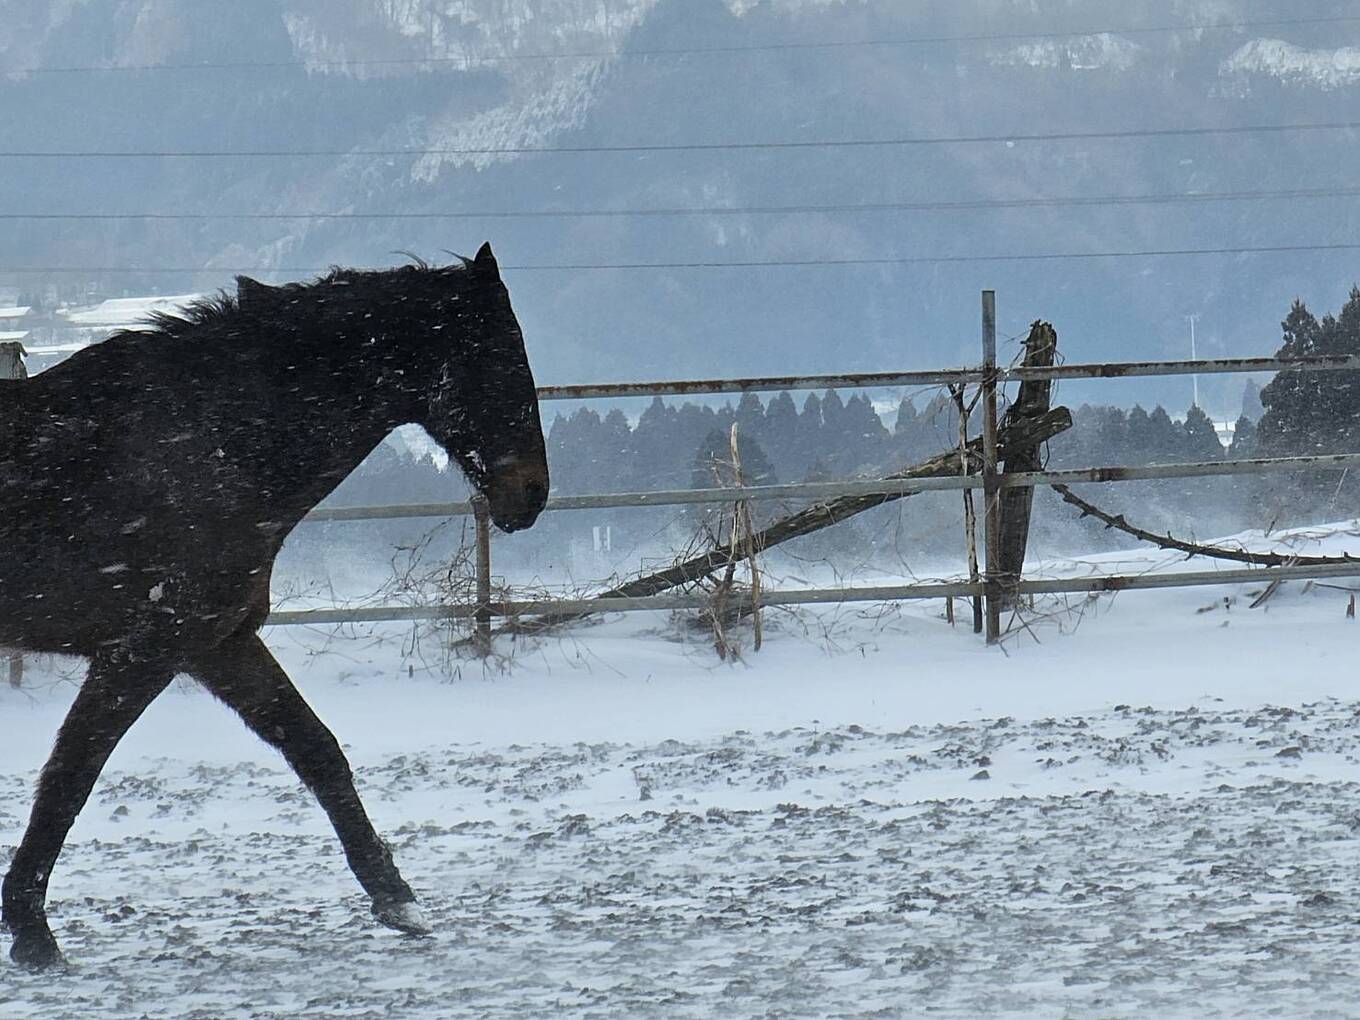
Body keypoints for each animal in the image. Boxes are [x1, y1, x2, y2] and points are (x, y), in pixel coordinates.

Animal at [0, 243, 548, 970]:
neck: (211, 442)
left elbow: (316, 749)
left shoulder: (220, 643)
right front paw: (33, 933)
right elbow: (70, 775)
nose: (533, 493)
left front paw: (397, 901)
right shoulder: (143, 652)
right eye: (499, 354)